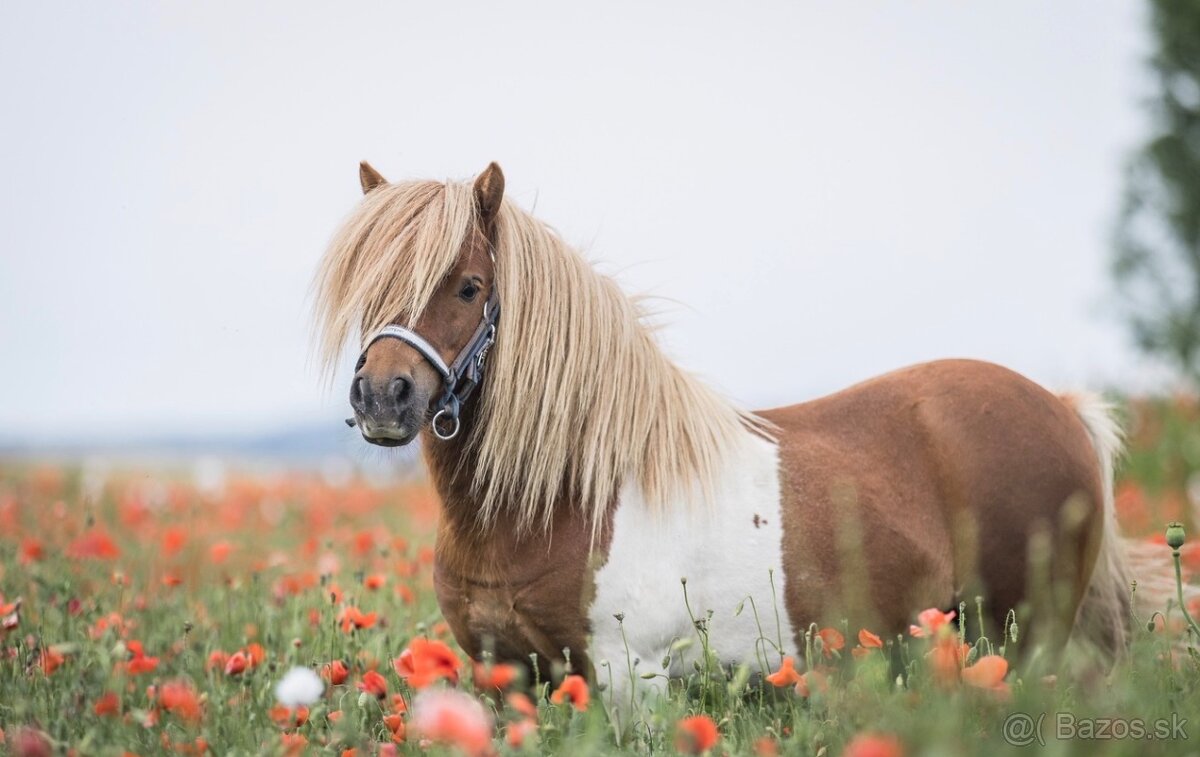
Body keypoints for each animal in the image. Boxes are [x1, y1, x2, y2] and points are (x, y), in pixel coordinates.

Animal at [313, 161, 1130, 720]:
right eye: (367, 285)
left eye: (469, 286)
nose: (383, 396)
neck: (559, 499)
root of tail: (1061, 409)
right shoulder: (504, 676)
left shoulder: (630, 679)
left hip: (1023, 638)